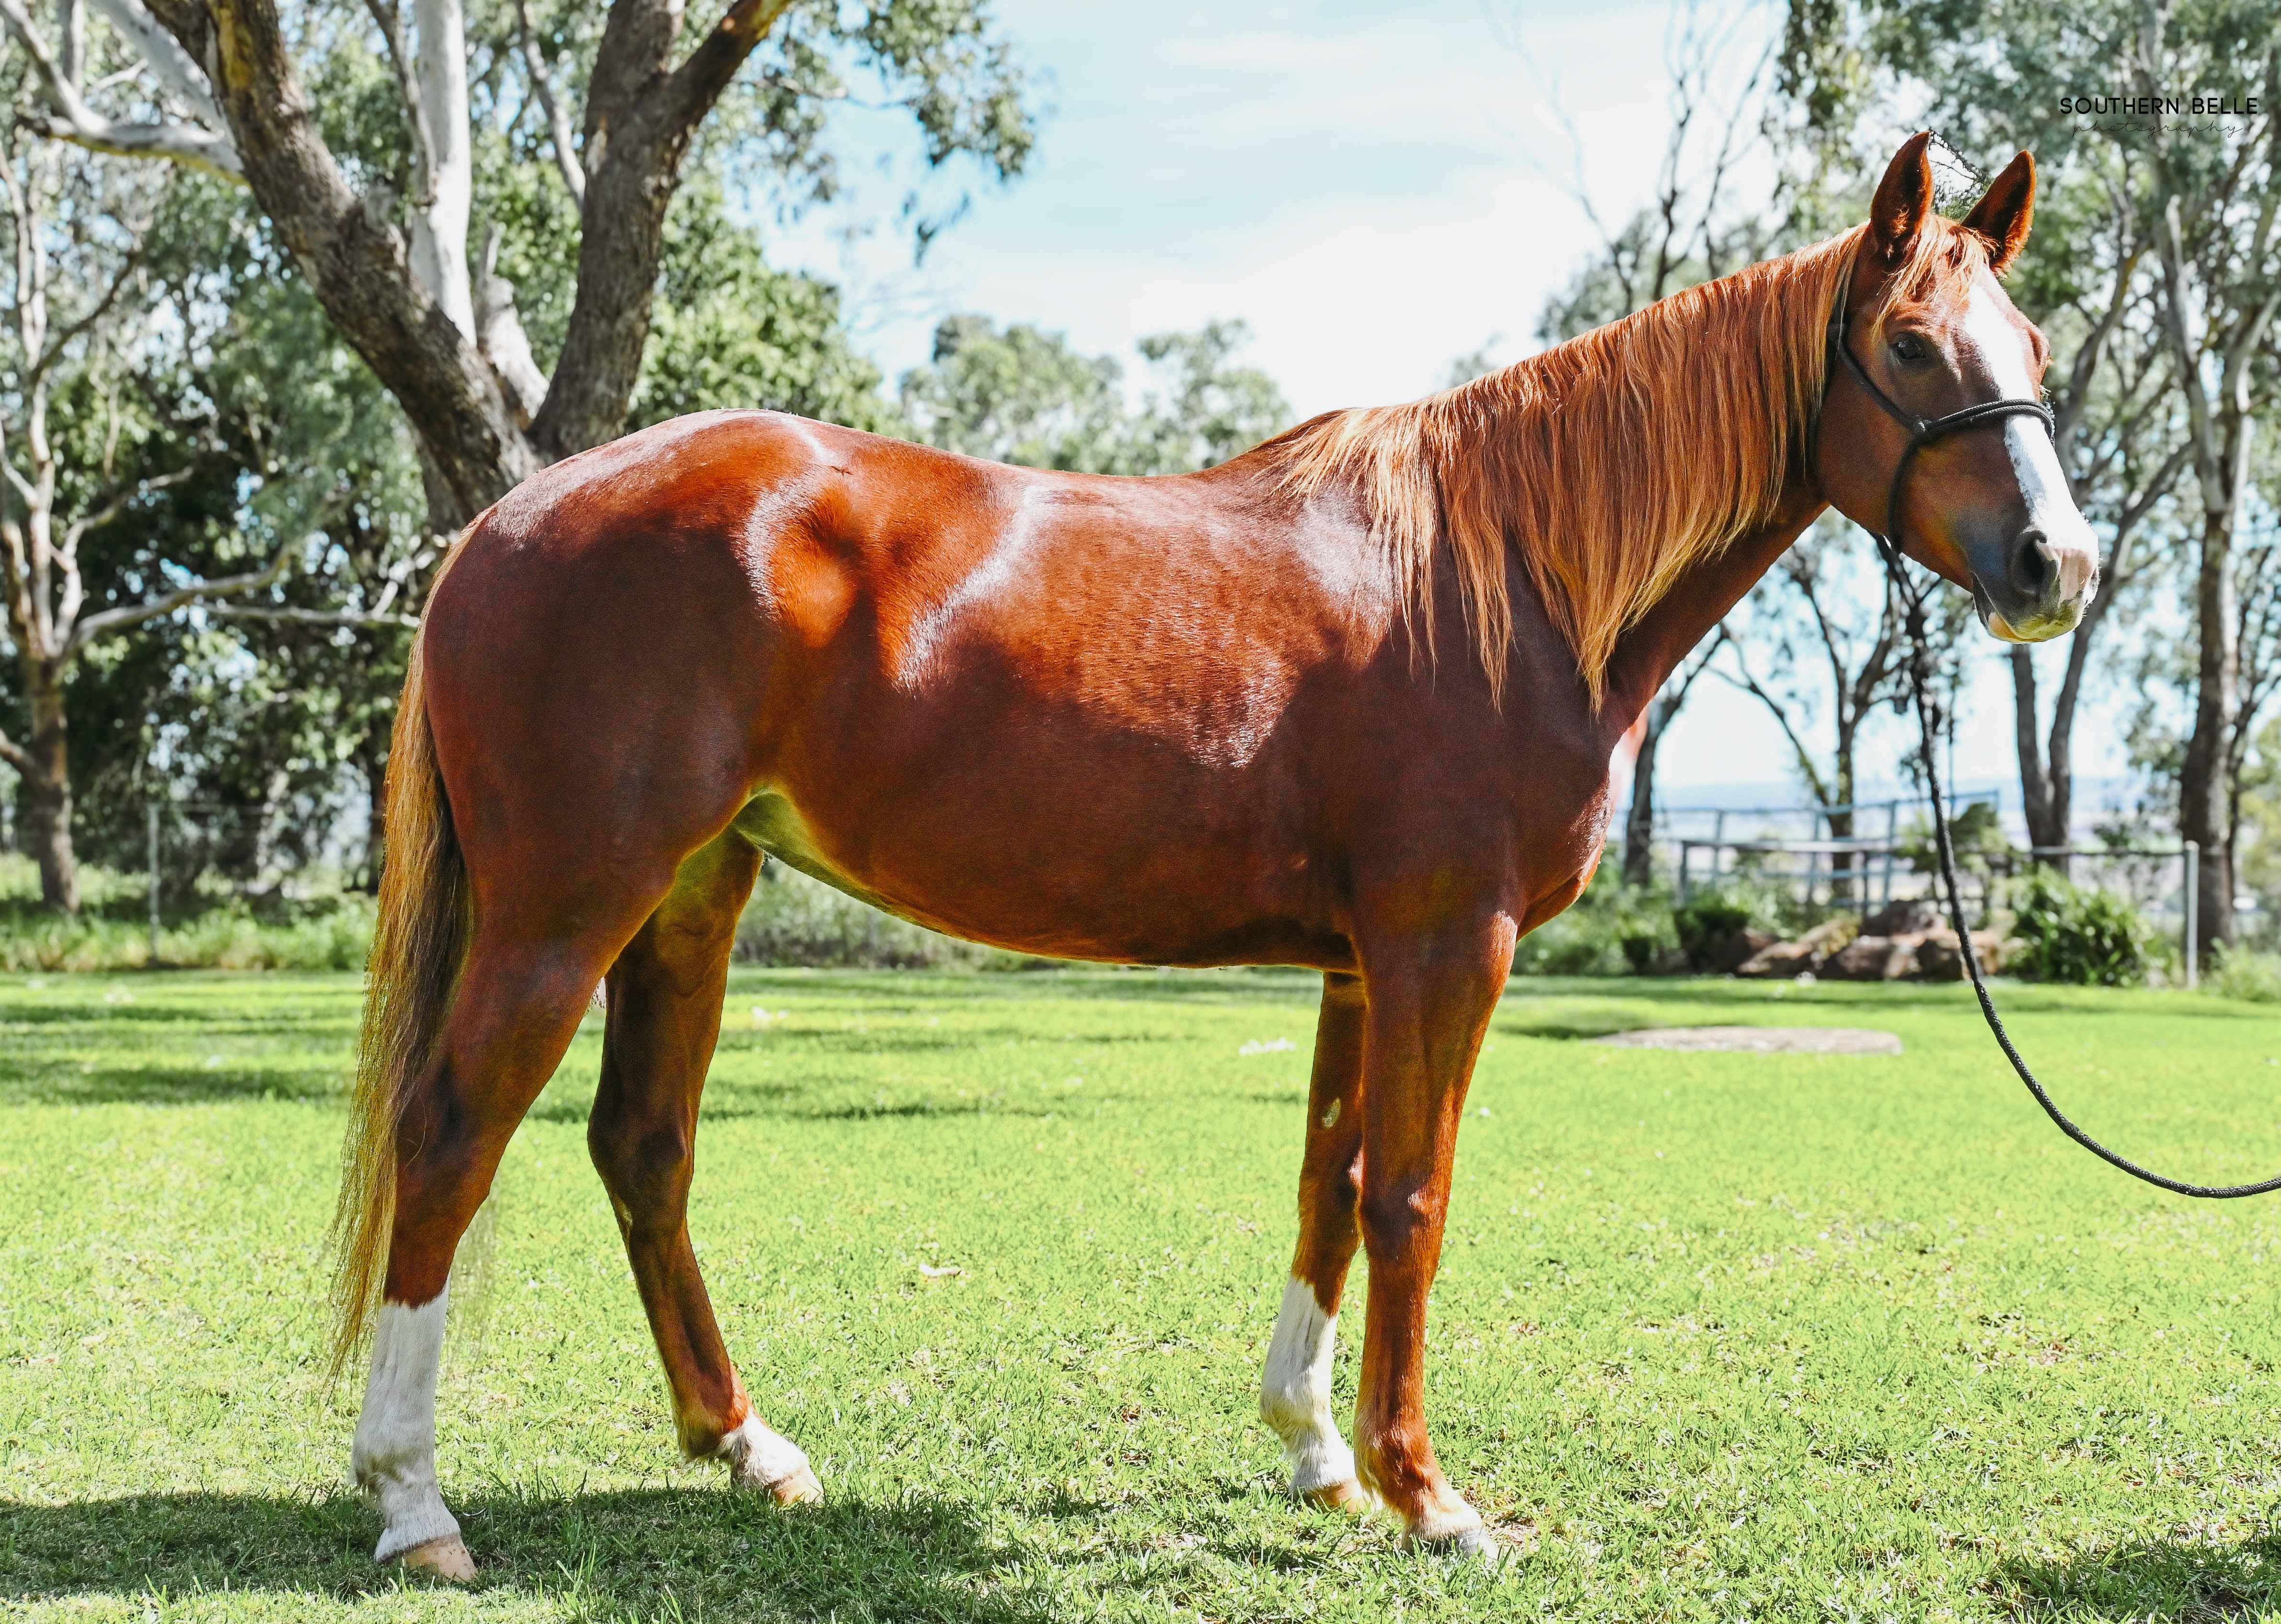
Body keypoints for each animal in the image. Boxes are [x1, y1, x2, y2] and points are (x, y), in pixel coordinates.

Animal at [334, 132, 2098, 1576]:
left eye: (2035, 349)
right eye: (1911, 344)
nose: (2056, 566)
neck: (1507, 578)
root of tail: (500, 526)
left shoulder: (1359, 965)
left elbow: (1330, 1182)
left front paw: (1321, 1458)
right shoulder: (1450, 945)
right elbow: (1414, 1196)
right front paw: (1430, 1496)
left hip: (695, 895)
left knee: (643, 1144)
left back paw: (747, 1445)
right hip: (566, 910)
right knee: (450, 1134)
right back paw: (416, 1503)